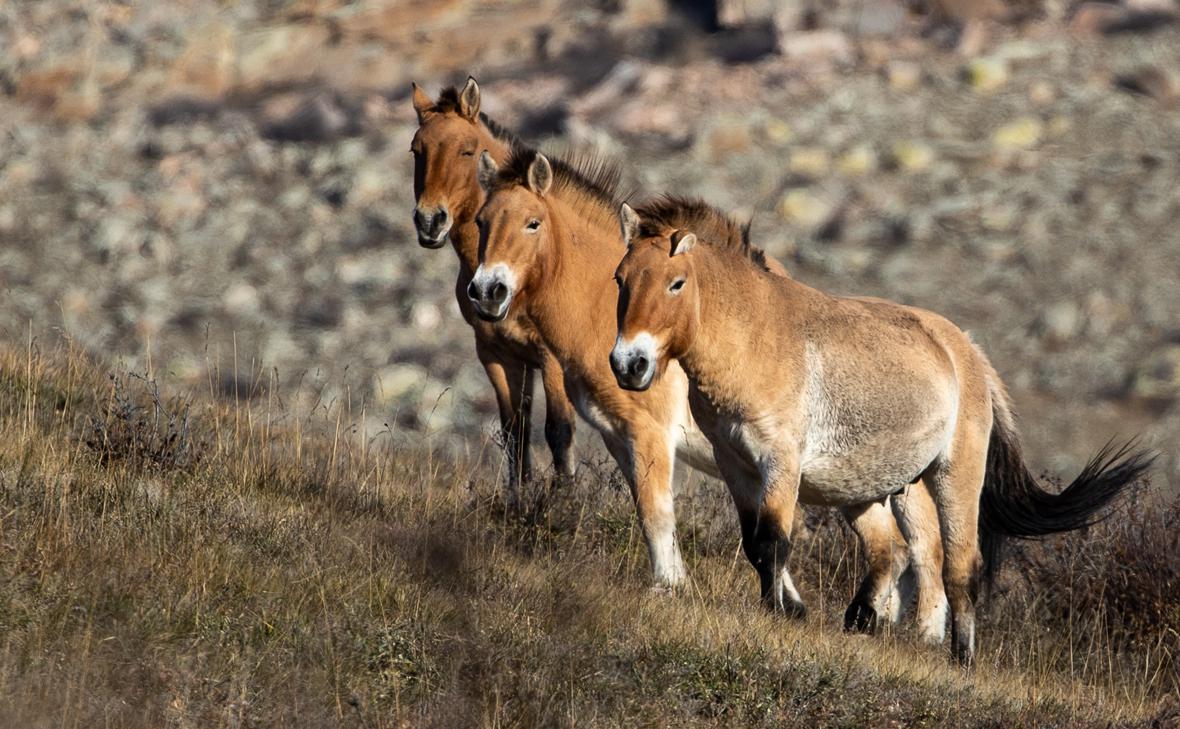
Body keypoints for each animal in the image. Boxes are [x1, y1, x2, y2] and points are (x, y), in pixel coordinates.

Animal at [410, 77, 575, 493]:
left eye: (467, 150)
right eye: (416, 150)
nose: (430, 221)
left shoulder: (551, 359)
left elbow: (558, 431)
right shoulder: (498, 354)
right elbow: (515, 431)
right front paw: (518, 497)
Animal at [469, 146, 948, 636]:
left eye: (532, 222)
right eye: (481, 221)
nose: (487, 292)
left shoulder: (651, 434)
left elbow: (657, 512)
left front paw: (669, 586)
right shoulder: (620, 436)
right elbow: (661, 513)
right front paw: (781, 603)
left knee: (928, 550)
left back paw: (925, 635)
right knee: (898, 549)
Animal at [608, 194, 1151, 665]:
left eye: (676, 283)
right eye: (620, 278)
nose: (628, 364)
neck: (756, 337)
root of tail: (970, 353)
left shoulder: (779, 462)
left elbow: (775, 542)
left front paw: (777, 616)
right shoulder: (735, 464)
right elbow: (756, 547)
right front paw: (786, 611)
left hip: (953, 477)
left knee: (958, 568)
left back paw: (960, 656)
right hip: (875, 488)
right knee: (892, 549)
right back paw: (864, 618)